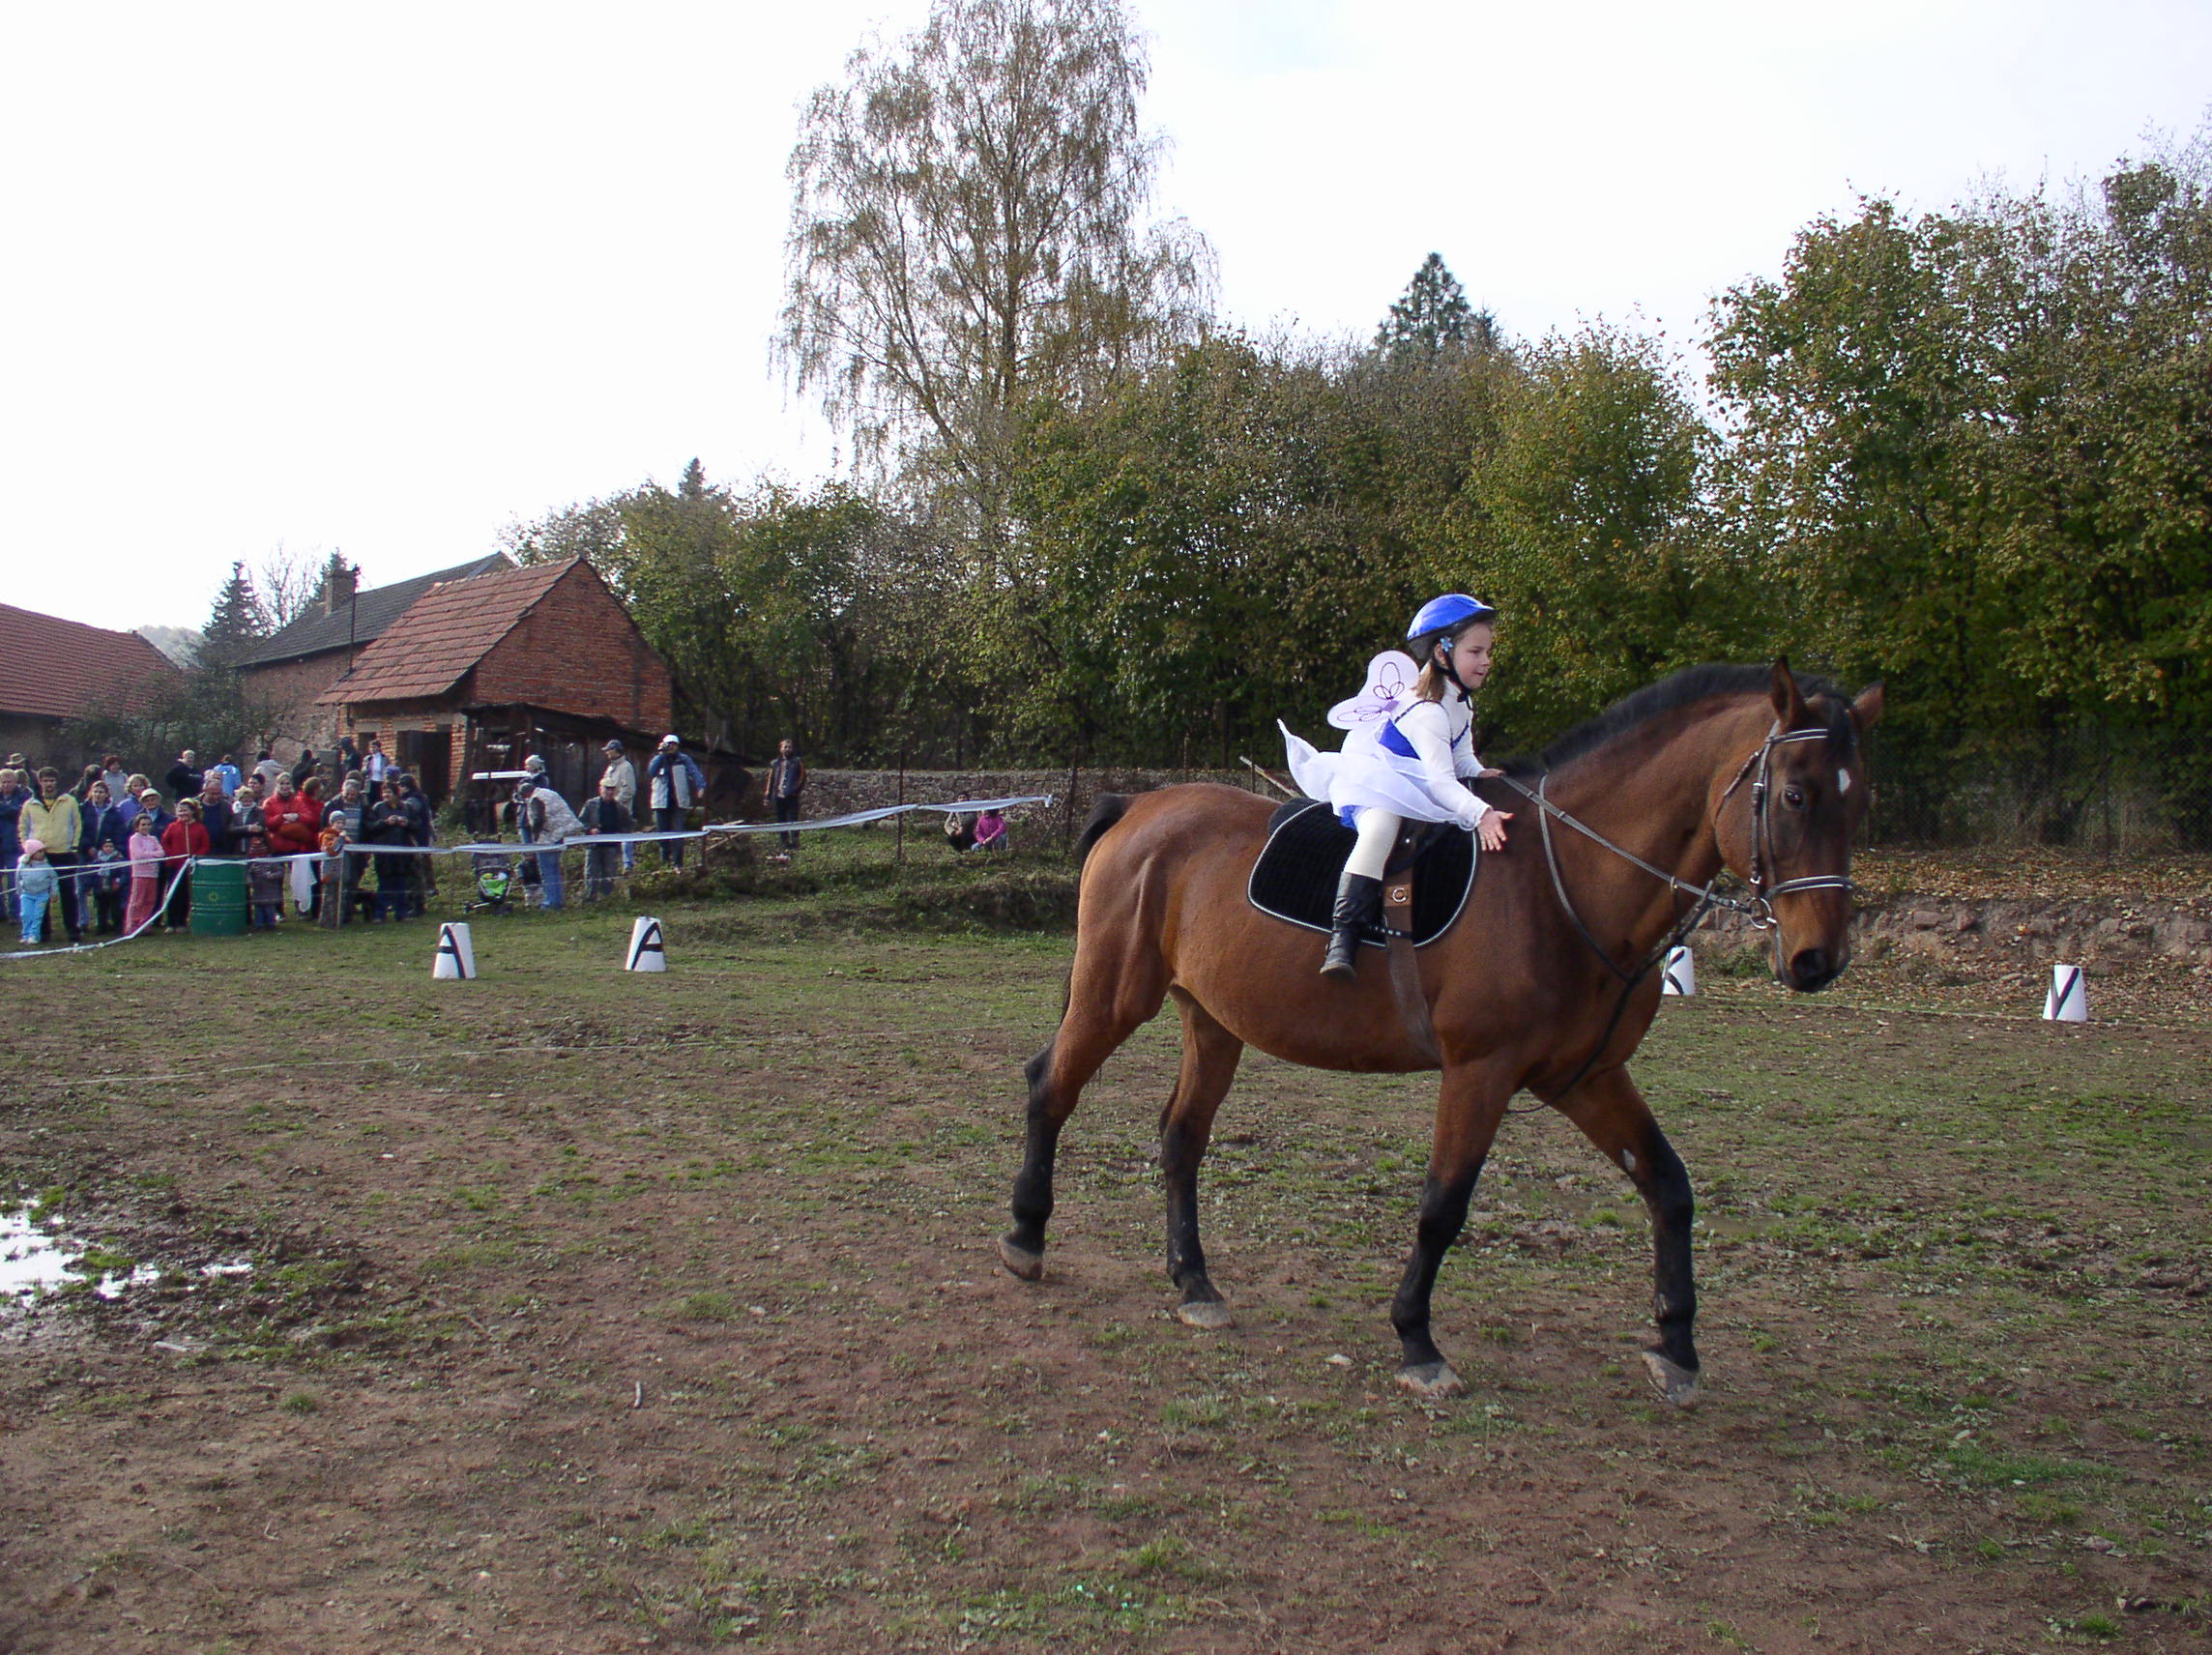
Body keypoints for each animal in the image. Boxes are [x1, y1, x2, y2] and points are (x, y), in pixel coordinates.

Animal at [1004, 659, 1884, 1398]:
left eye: (1858, 800)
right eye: (1796, 795)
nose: (1818, 960)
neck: (1562, 883)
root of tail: (1139, 806)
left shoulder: (1588, 1077)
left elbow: (1669, 1187)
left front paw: (1676, 1346)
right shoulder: (1480, 1072)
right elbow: (1443, 1205)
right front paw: (1417, 1341)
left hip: (1214, 1019)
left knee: (1181, 1136)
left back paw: (1194, 1282)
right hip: (1115, 996)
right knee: (1051, 1087)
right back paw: (1026, 1237)